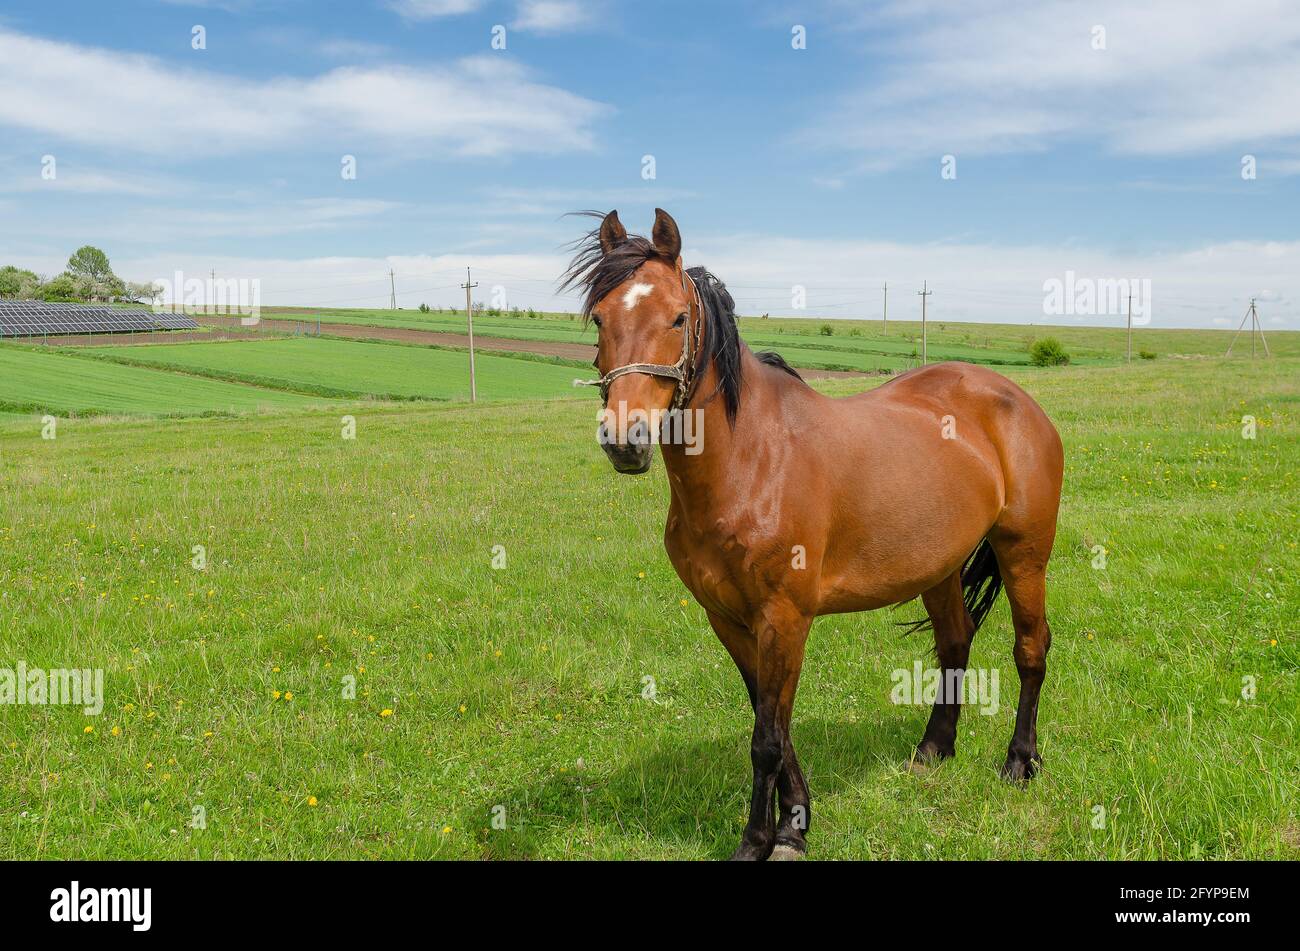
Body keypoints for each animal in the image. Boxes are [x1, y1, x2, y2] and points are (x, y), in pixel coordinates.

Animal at [564, 210, 1060, 862]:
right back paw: (934, 750)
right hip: (939, 567)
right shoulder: (730, 620)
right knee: (955, 642)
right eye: (600, 318)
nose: (626, 440)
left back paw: (1019, 762)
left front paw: (759, 840)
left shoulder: (784, 618)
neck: (752, 462)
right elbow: (770, 718)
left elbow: (767, 741)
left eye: (677, 317)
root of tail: (1016, 400)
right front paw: (794, 822)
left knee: (1030, 649)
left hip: (1024, 553)